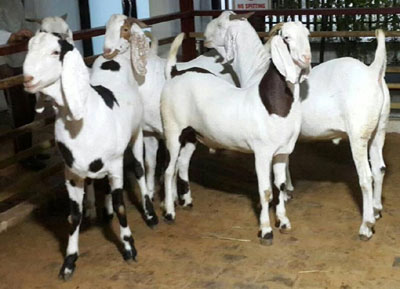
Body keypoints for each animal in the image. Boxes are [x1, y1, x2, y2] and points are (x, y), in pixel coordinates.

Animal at [22, 31, 150, 280]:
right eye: (29, 48)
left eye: (55, 52)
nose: (27, 78)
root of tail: (113, 57)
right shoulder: (71, 174)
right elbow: (74, 216)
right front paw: (69, 262)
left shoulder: (116, 165)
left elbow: (121, 206)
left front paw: (129, 248)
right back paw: (99, 209)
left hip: (136, 132)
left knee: (140, 170)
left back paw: (150, 214)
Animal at [103, 14, 239, 215]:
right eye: (106, 29)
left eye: (125, 29)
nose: (106, 52)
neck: (148, 80)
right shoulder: (149, 132)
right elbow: (150, 164)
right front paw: (152, 194)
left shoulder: (170, 132)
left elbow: (171, 166)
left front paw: (170, 200)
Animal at [161, 17, 310, 243]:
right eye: (286, 38)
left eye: (307, 34)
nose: (306, 58)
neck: (272, 103)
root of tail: (174, 74)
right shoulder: (262, 153)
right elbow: (266, 191)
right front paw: (266, 230)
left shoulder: (282, 153)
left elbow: (281, 186)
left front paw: (283, 222)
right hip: (172, 130)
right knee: (169, 170)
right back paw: (170, 212)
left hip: (191, 134)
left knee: (182, 164)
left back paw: (186, 201)